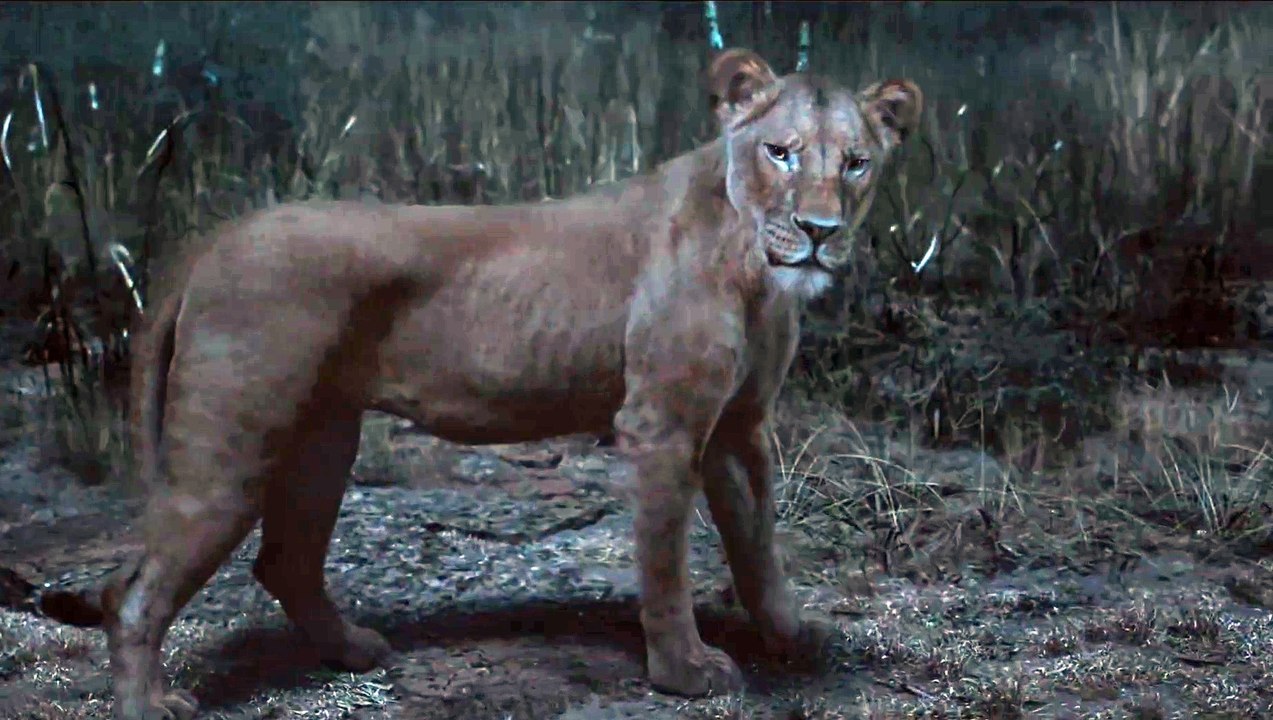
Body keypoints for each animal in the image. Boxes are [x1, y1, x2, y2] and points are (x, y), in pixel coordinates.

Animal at [39, 48, 921, 719]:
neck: (754, 265)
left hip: (322, 436)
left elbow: (756, 544)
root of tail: (211, 240)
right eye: (780, 152)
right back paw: (152, 703)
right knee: (138, 591)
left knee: (281, 562)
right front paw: (683, 673)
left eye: (855, 163)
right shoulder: (661, 425)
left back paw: (354, 651)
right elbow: (665, 562)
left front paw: (790, 637)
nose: (819, 232)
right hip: (232, 443)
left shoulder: (738, 425)